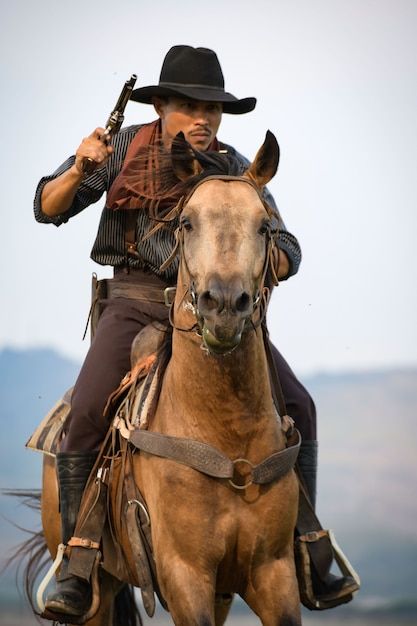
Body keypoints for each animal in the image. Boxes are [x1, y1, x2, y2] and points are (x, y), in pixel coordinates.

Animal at [36, 130, 302, 624]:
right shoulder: (185, 575)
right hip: (97, 587)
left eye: (265, 226)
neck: (226, 433)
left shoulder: (272, 573)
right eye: (187, 223)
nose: (224, 305)